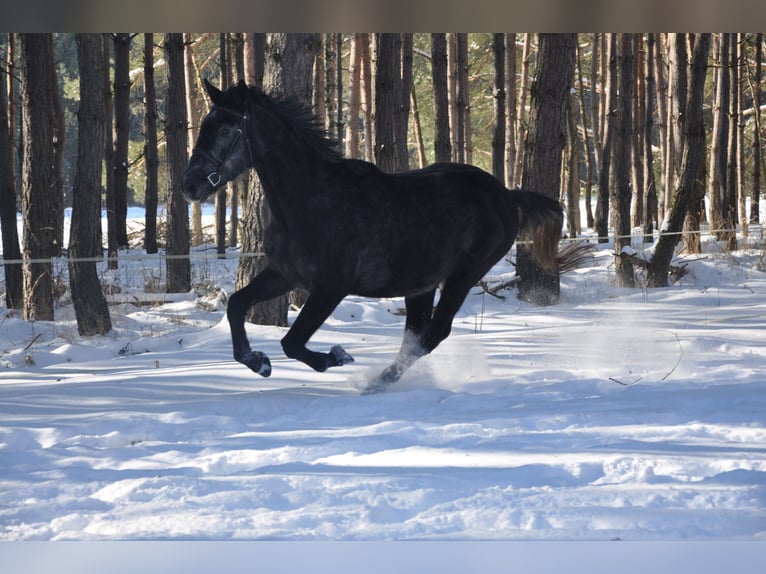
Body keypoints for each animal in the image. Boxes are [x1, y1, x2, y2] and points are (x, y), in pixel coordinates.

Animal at [182, 81, 564, 396]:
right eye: (206, 125)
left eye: (226, 129)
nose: (190, 186)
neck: (311, 201)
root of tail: (507, 195)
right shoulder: (284, 275)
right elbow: (236, 306)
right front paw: (258, 362)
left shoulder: (330, 288)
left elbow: (292, 342)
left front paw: (336, 356)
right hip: (420, 284)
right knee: (417, 335)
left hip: (462, 277)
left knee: (433, 335)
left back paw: (377, 382)